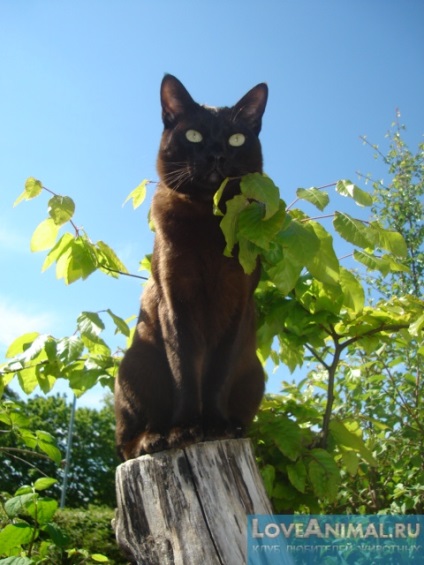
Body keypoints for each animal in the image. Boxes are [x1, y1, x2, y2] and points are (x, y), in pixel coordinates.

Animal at [115, 74, 268, 458]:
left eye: (236, 138)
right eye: (194, 135)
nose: (216, 154)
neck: (207, 219)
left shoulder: (237, 302)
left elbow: (216, 375)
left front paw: (214, 426)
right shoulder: (175, 300)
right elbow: (184, 369)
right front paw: (184, 430)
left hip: (254, 375)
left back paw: (234, 427)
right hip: (136, 365)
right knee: (125, 441)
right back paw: (153, 438)